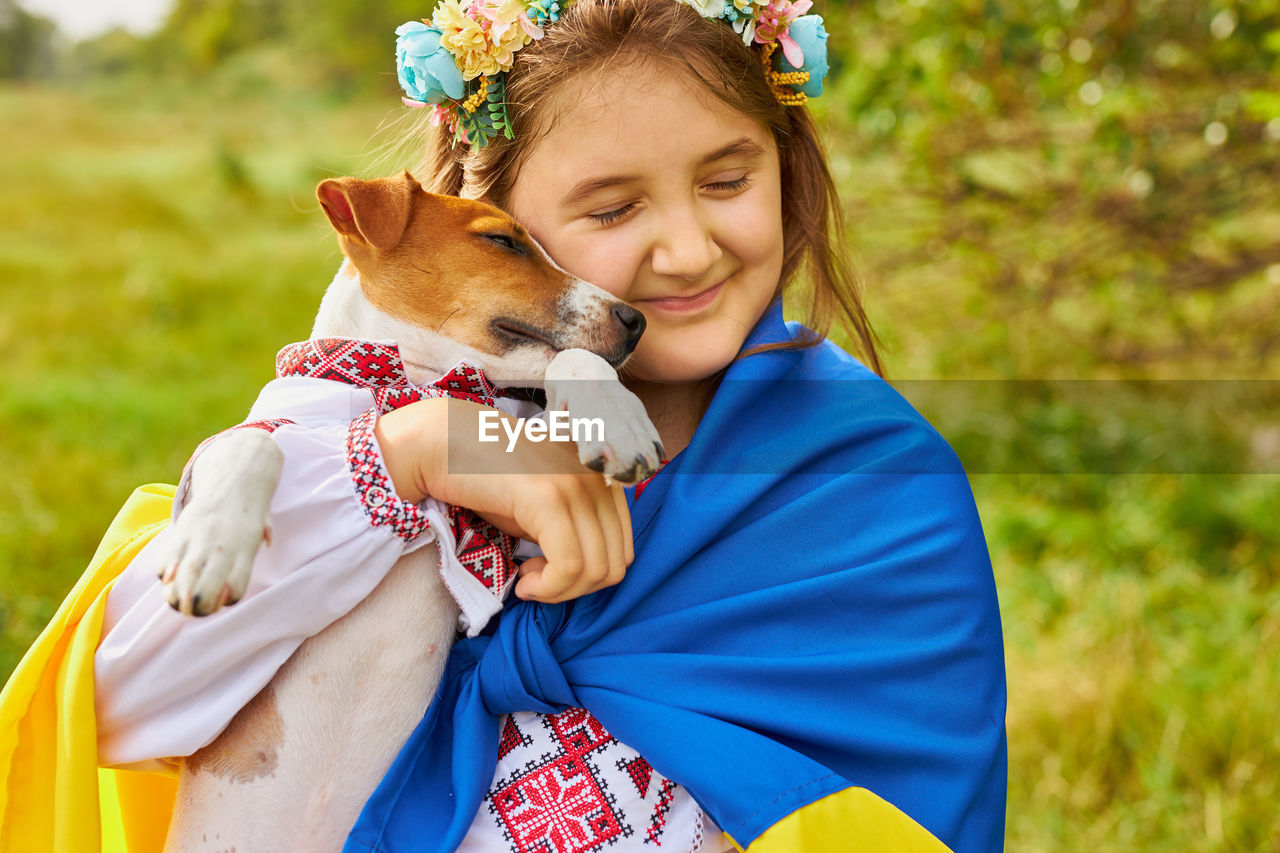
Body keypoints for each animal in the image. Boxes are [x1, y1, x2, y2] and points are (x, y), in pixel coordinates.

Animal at [154, 169, 665, 845]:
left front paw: (618, 421)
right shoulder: (243, 441)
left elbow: (568, 359)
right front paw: (210, 552)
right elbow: (254, 443)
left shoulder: (523, 559)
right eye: (502, 241)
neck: (411, 389)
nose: (636, 320)